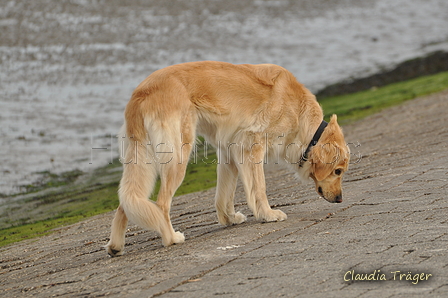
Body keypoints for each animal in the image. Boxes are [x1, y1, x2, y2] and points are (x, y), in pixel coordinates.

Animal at [106, 61, 350, 256]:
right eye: (338, 171)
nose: (340, 199)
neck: (299, 113)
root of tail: (141, 93)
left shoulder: (230, 152)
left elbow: (225, 194)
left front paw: (229, 219)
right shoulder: (252, 146)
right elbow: (259, 188)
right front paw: (268, 214)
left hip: (141, 160)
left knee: (127, 201)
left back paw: (115, 246)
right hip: (178, 156)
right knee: (161, 203)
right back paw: (171, 238)